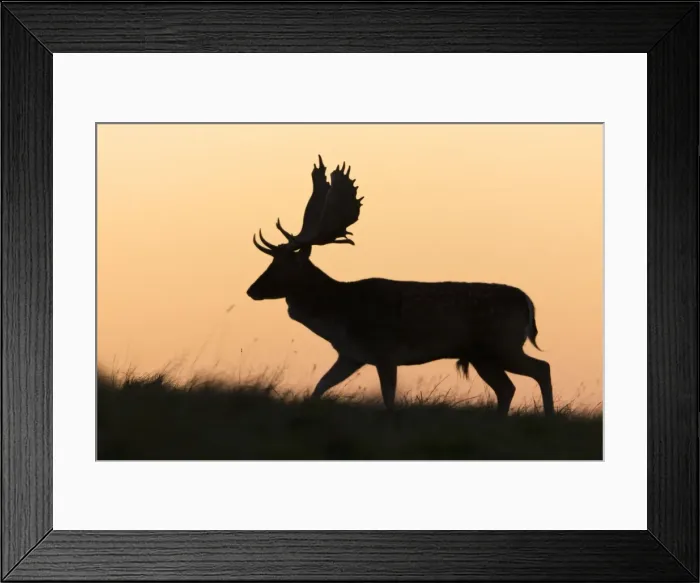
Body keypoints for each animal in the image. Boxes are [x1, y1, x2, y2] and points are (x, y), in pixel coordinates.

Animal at [246, 155, 554, 416]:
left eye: (281, 266)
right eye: (271, 262)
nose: (252, 290)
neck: (340, 314)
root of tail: (527, 302)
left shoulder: (385, 351)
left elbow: (388, 398)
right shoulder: (351, 354)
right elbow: (320, 385)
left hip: (501, 343)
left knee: (542, 368)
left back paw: (549, 417)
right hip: (482, 355)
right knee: (507, 388)